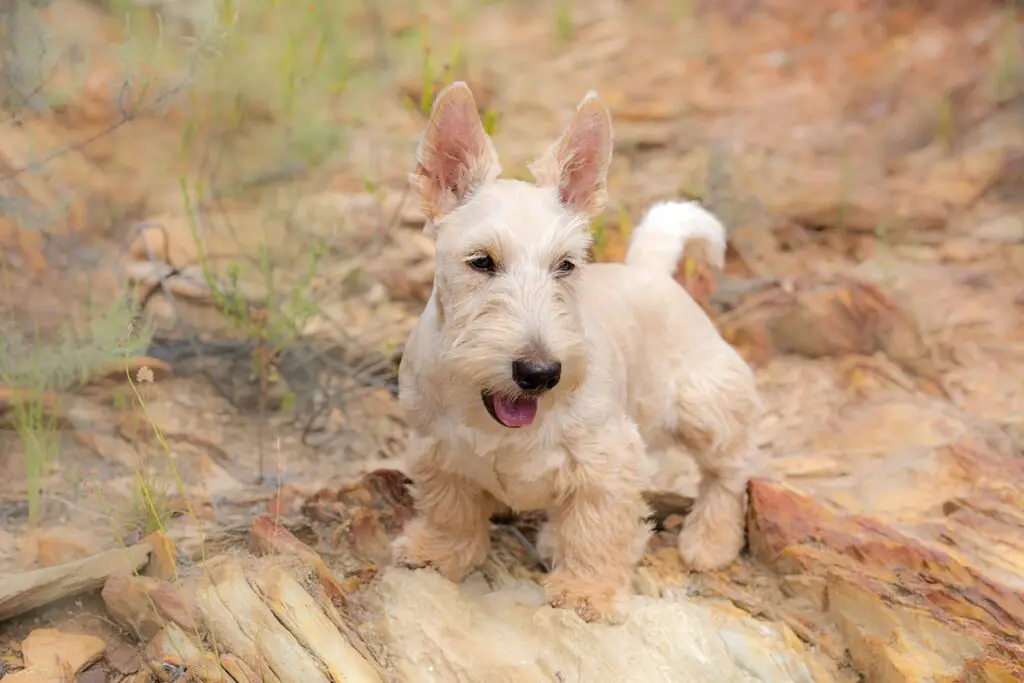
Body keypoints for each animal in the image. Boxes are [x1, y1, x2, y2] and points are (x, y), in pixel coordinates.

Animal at [391, 81, 761, 626]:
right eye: (481, 261)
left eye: (565, 265)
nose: (540, 373)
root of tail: (649, 270)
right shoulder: (433, 447)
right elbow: (449, 509)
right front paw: (438, 552)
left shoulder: (607, 459)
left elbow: (597, 527)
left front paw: (589, 592)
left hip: (706, 407)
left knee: (728, 473)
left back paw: (709, 541)